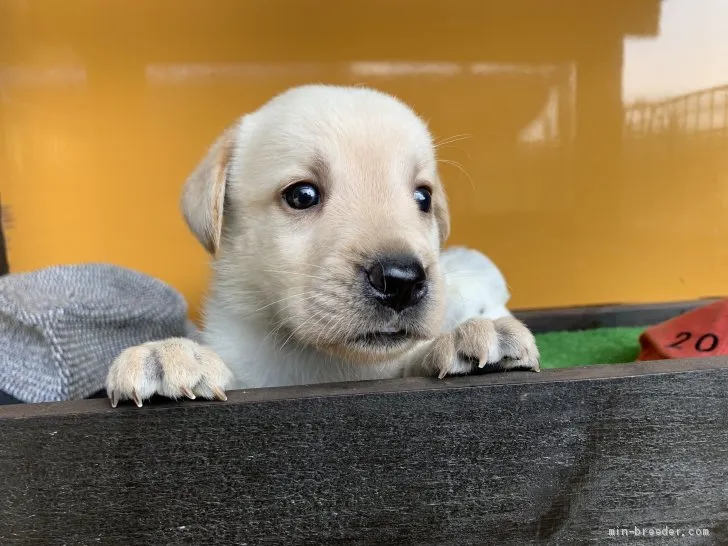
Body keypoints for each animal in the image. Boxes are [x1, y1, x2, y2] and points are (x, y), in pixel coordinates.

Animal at [105, 85, 536, 406]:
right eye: (302, 195)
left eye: (423, 198)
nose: (402, 280)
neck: (323, 363)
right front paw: (169, 352)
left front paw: (467, 335)